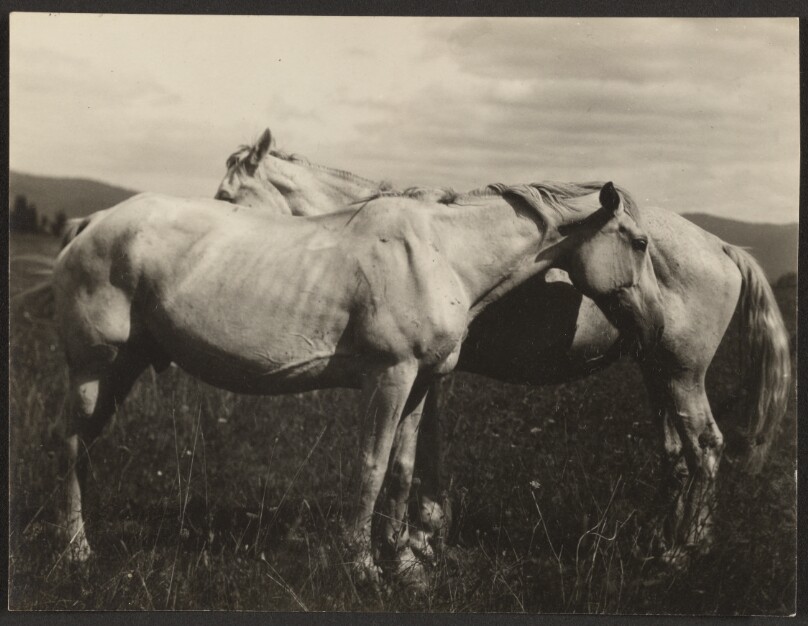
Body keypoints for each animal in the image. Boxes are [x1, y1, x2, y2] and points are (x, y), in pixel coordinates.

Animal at [51, 180, 663, 585]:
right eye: (638, 242)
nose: (657, 327)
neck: (440, 254)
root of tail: (90, 224)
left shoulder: (420, 383)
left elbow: (402, 469)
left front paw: (406, 564)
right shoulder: (389, 377)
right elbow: (371, 466)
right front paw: (363, 564)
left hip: (124, 368)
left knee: (85, 448)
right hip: (93, 370)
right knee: (71, 446)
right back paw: (76, 549)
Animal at [216, 129, 791, 566]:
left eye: (225, 200)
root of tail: (723, 246)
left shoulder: (427, 371)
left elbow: (417, 448)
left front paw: (419, 539)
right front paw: (422, 537)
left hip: (681, 373)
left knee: (707, 447)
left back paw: (685, 549)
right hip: (656, 372)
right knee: (678, 456)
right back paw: (658, 540)